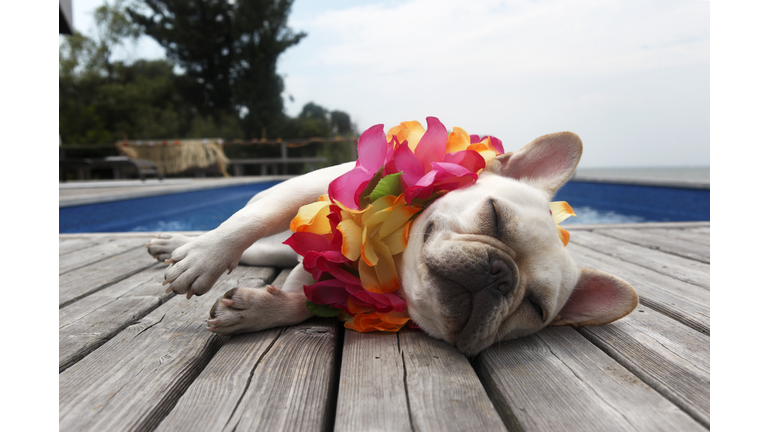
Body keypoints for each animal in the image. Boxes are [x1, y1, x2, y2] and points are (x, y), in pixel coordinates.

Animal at [148, 131, 636, 354]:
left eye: (534, 308)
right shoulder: (308, 186)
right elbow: (253, 217)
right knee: (250, 236)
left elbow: (307, 302)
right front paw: (204, 259)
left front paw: (256, 310)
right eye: (495, 217)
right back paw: (181, 246)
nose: (500, 274)